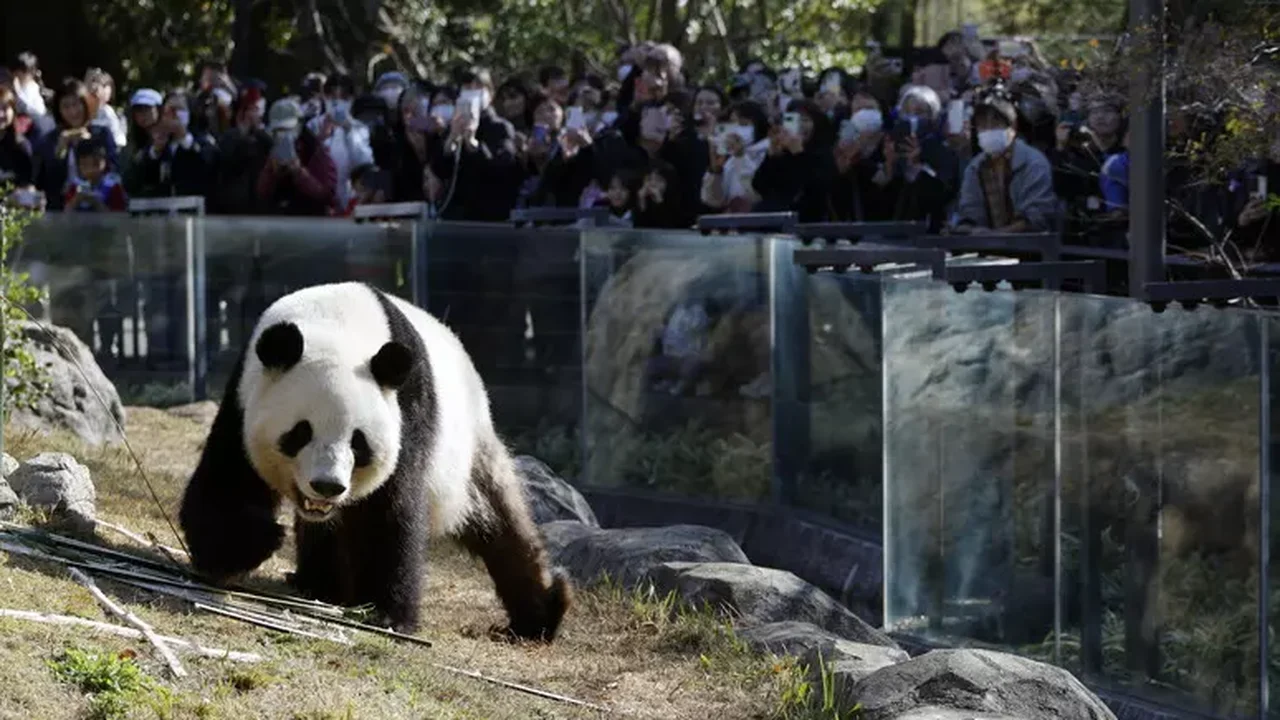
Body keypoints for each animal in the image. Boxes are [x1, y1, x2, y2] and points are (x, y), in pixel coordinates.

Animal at [177, 281, 572, 642]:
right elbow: (227, 482)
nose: (328, 486)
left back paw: (539, 617)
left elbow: (389, 512)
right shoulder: (243, 398)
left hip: (467, 448)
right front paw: (248, 545)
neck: (337, 323)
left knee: (501, 522)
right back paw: (318, 584)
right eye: (300, 432)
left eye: (358, 441)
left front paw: (386, 614)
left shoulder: (406, 413)